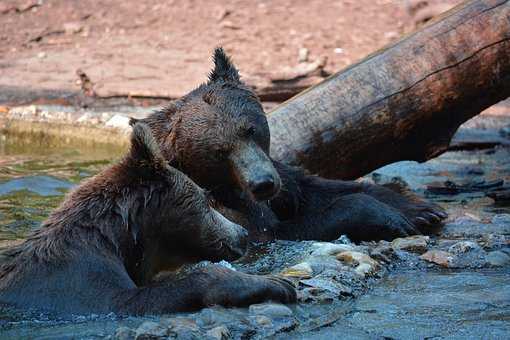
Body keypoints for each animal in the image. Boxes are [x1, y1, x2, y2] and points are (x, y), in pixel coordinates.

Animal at [0, 123, 294, 316]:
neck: (122, 242)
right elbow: (135, 301)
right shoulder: (76, 283)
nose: (241, 234)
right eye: (206, 199)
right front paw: (277, 283)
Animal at [138, 47, 446, 243]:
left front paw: (421, 210)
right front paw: (391, 218)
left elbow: (316, 188)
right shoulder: (221, 209)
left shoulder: (281, 175)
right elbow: (277, 230)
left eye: (250, 130)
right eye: (219, 151)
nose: (263, 183)